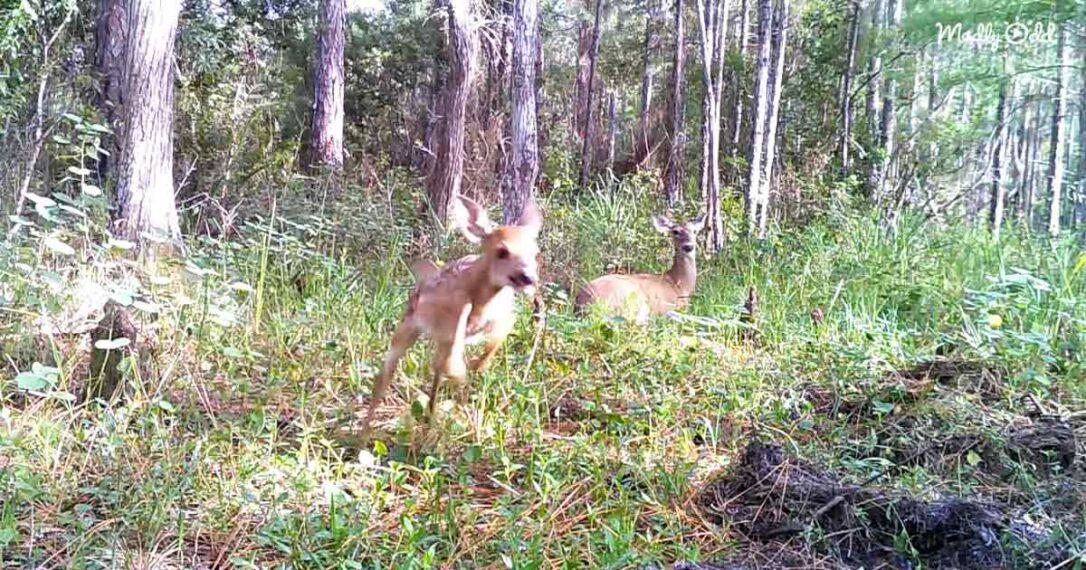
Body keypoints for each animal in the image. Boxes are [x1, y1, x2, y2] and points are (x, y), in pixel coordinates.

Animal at [360, 197, 543, 439]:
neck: (481, 302)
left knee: (435, 368)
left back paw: (431, 416)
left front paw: (478, 369)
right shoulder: (453, 320)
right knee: (386, 375)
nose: (528, 277)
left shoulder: (501, 316)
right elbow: (453, 367)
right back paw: (363, 436)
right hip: (410, 324)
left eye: (535, 251)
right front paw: (465, 410)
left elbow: (495, 341)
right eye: (502, 251)